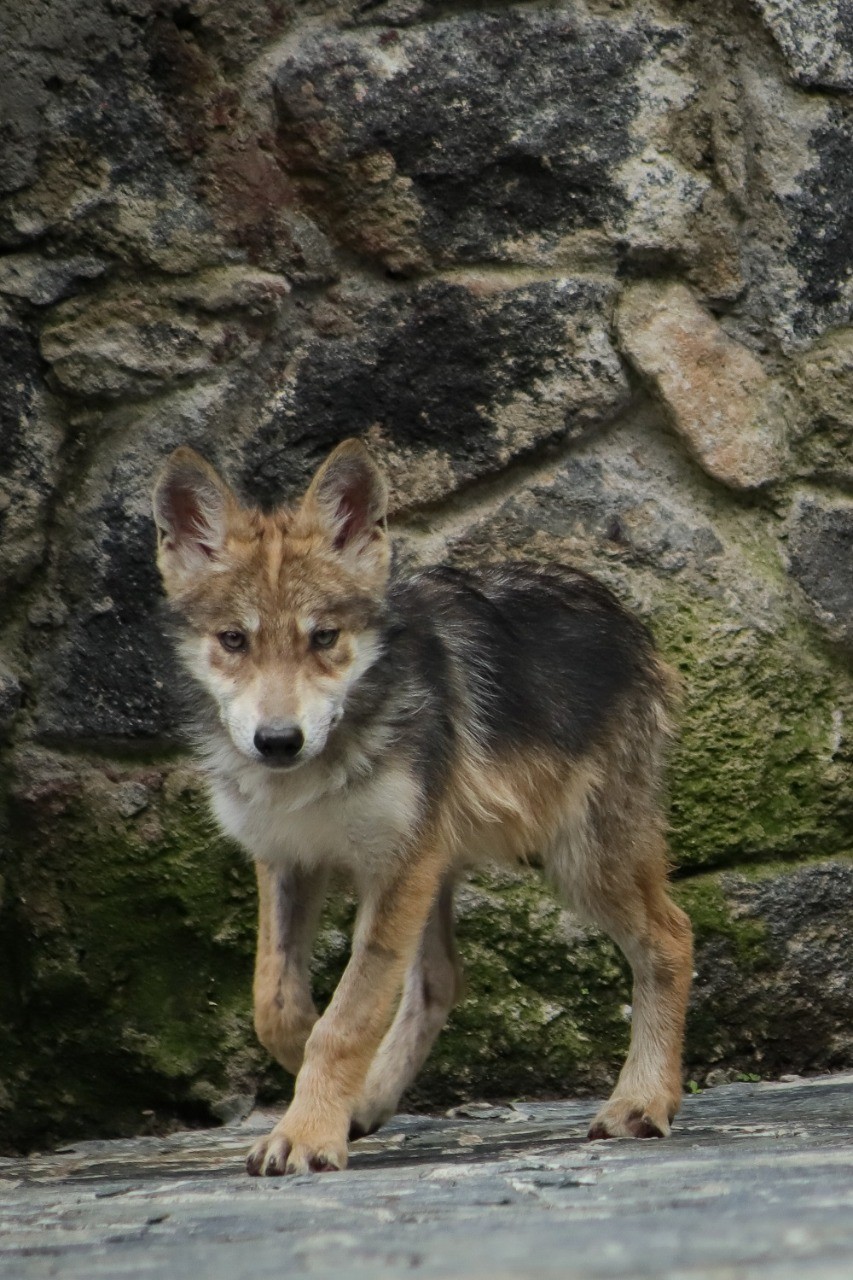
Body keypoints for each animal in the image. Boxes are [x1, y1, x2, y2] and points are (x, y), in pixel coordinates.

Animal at [151, 442, 691, 1177]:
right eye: (234, 640)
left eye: (324, 638)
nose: (278, 741)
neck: (315, 776)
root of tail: (619, 609)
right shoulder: (290, 859)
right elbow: (280, 1008)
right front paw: (329, 1100)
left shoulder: (397, 867)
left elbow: (344, 1021)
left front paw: (307, 1133)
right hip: (446, 867)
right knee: (441, 979)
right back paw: (373, 1099)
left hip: (580, 864)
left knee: (670, 938)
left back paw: (640, 1102)